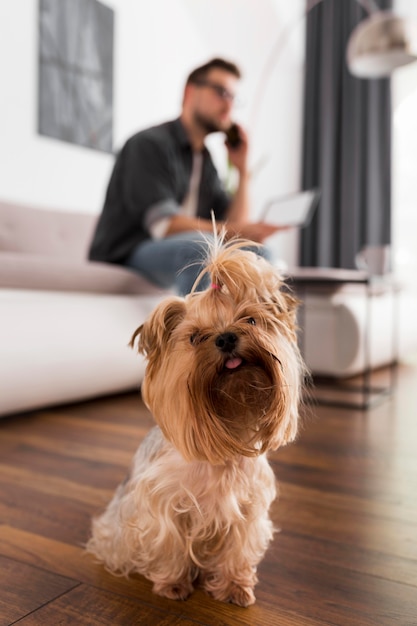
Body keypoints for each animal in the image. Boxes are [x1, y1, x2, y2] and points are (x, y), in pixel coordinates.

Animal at [86, 236, 304, 604]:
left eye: (251, 321)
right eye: (195, 337)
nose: (227, 337)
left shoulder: (248, 510)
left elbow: (237, 549)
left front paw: (234, 586)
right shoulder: (164, 506)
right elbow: (169, 542)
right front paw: (173, 585)